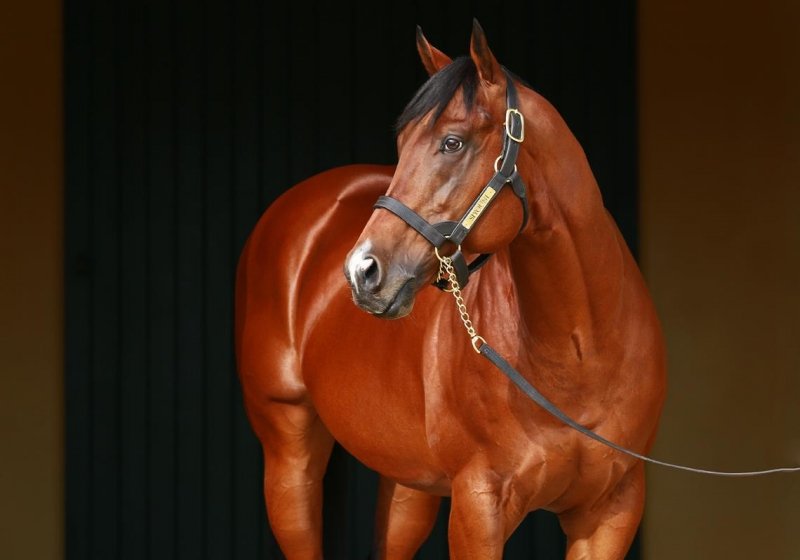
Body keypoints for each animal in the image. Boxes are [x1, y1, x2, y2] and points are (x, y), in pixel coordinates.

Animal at [235, 20, 666, 559]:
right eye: (402, 143)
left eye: (453, 143)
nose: (362, 271)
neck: (580, 352)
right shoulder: (478, 507)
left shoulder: (611, 510)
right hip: (290, 456)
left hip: (409, 483)